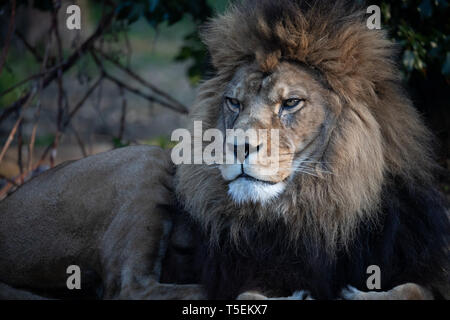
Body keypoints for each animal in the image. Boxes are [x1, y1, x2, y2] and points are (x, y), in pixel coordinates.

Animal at [0, 0, 448, 300]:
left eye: (291, 103)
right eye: (233, 102)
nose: (236, 146)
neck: (317, 208)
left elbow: (415, 288)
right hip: (148, 158)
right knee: (131, 288)